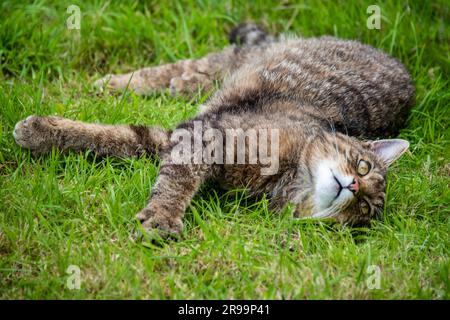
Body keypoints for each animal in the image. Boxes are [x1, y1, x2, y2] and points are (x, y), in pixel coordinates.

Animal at [13, 23, 414, 239]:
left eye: (365, 210)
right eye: (363, 166)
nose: (355, 186)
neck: (289, 176)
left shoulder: (180, 137)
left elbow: (121, 137)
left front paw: (41, 132)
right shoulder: (205, 135)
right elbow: (175, 181)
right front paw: (163, 216)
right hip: (245, 60)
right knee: (194, 65)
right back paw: (115, 83)